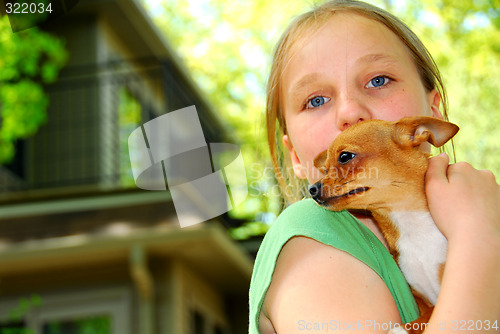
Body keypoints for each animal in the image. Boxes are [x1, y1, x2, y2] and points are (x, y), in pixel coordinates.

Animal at [310, 116, 458, 332]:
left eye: (345, 156)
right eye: (325, 170)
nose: (311, 188)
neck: (413, 228)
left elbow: (428, 315)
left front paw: (400, 329)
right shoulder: (421, 298)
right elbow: (428, 313)